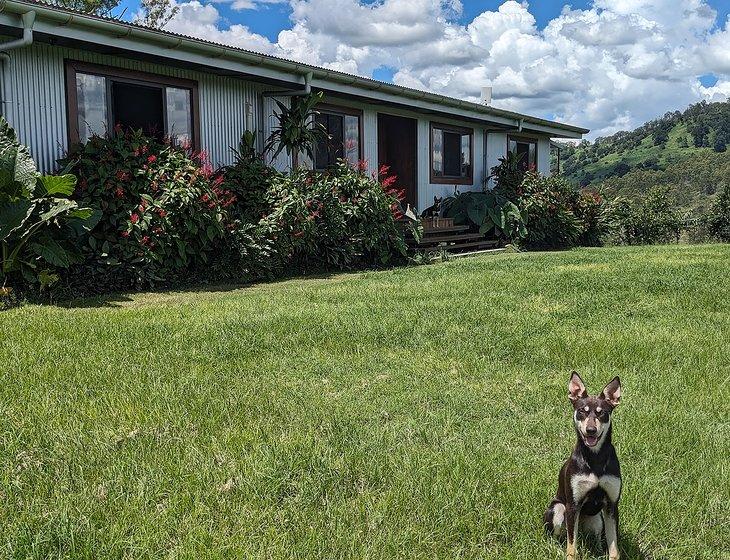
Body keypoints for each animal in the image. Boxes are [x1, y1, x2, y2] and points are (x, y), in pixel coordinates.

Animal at [540, 372, 620, 560]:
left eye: (602, 413)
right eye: (582, 411)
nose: (591, 430)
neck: (595, 457)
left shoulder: (612, 505)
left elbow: (614, 547)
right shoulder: (573, 505)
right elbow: (571, 545)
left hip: (597, 520)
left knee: (596, 538)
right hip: (559, 509)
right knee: (560, 537)